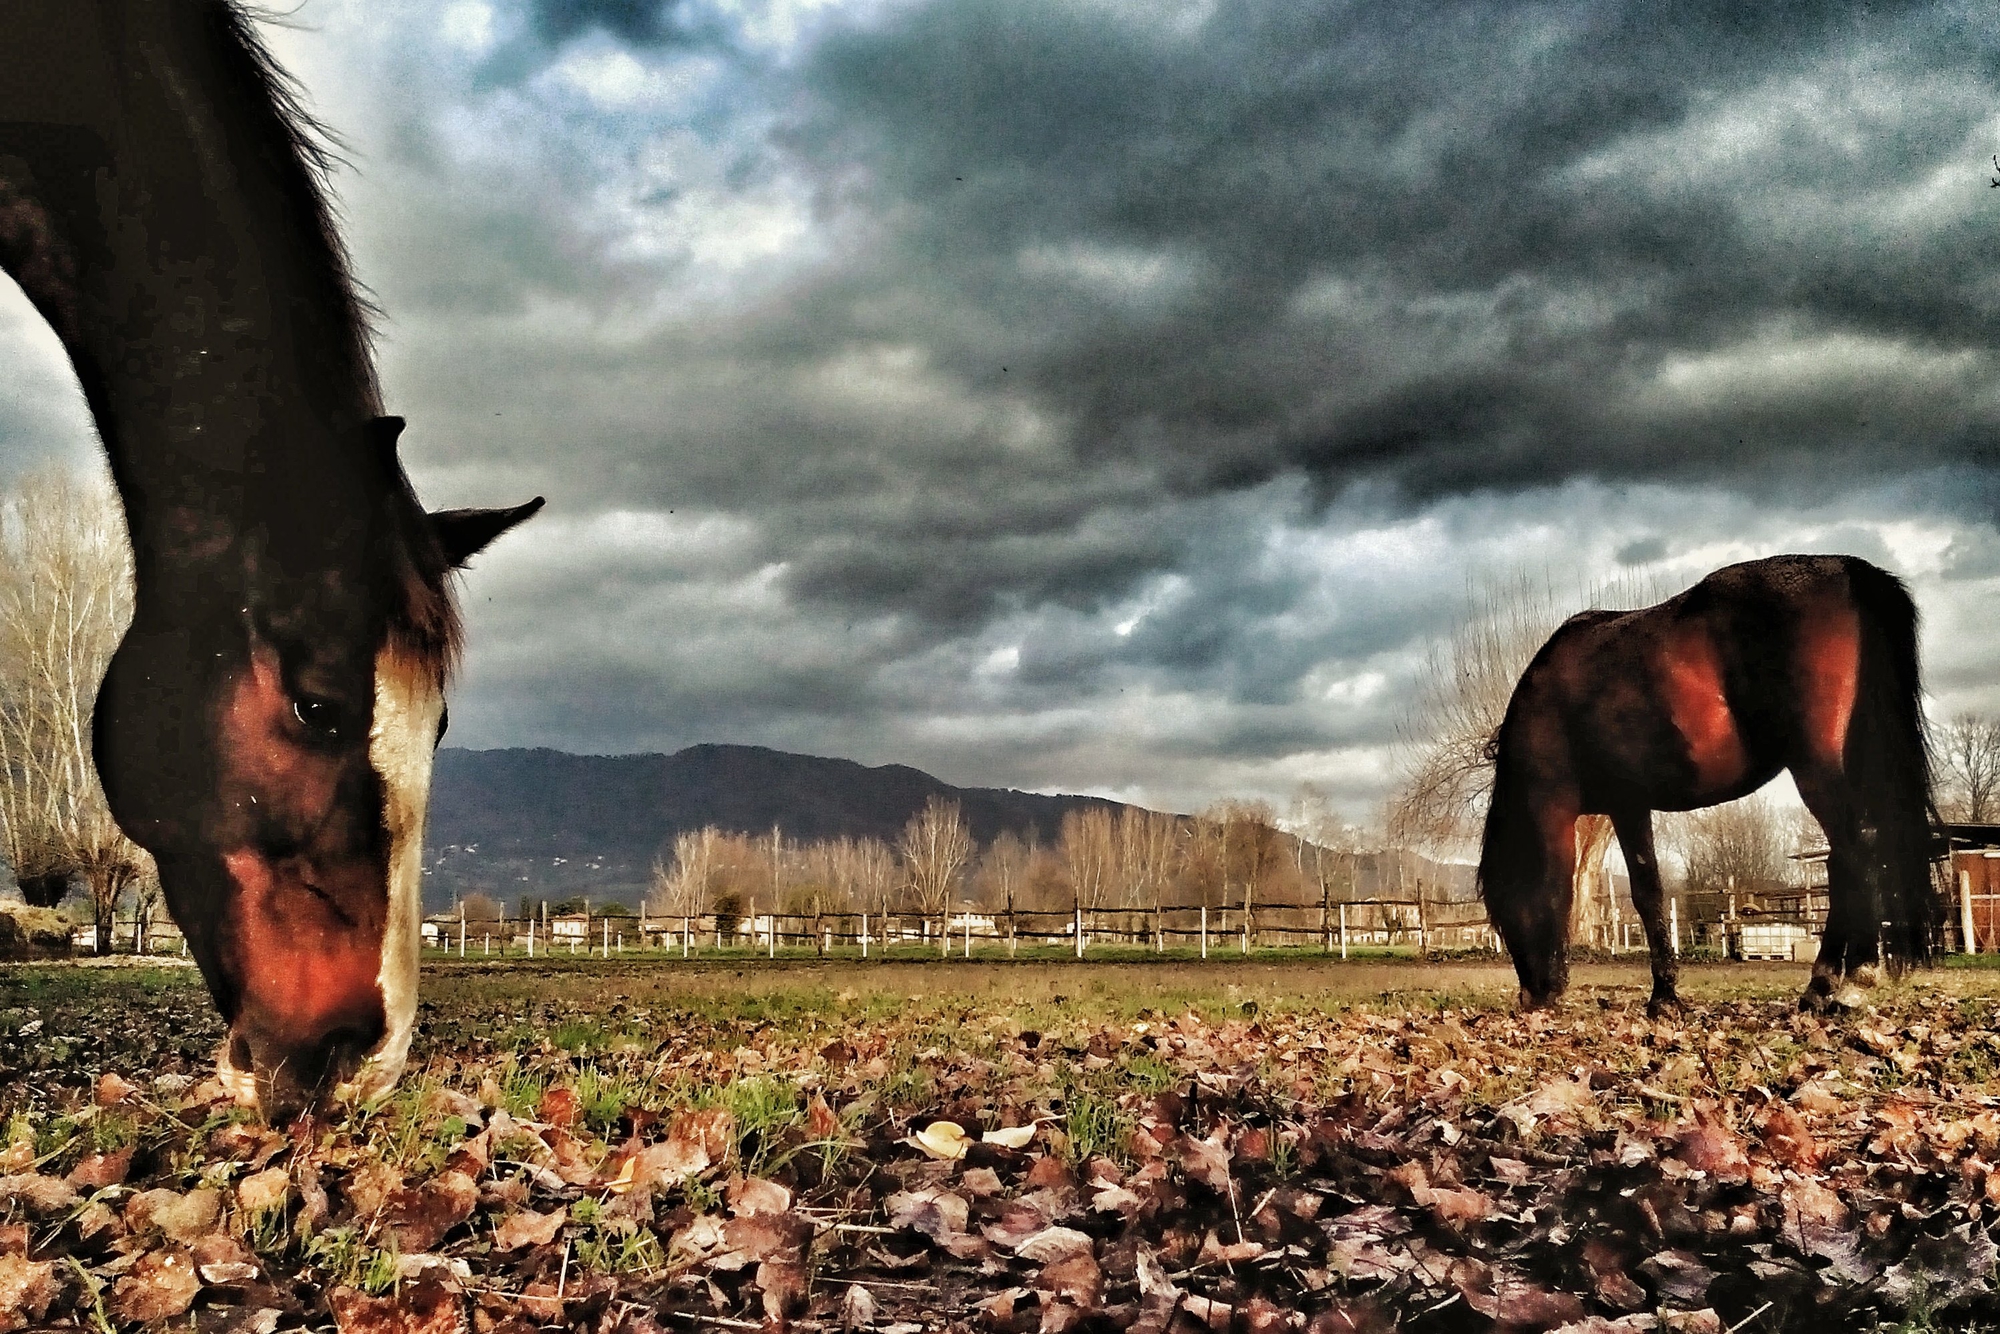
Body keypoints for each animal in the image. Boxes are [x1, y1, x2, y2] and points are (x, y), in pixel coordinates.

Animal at [1480, 560, 1928, 1016]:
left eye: (1507, 909)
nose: (1533, 997)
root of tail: (1849, 570)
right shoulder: (1626, 808)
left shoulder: (1626, 804)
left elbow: (1647, 894)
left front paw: (1663, 996)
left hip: (1816, 767)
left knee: (1852, 854)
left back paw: (1842, 980)